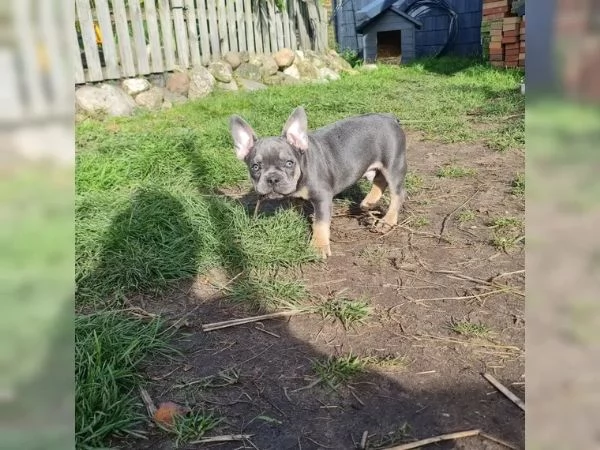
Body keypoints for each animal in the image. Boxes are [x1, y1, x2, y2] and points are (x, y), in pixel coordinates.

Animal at [230, 106, 408, 258]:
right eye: (255, 167)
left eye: (289, 163)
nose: (273, 178)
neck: (303, 168)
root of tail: (389, 117)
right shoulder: (295, 194)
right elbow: (295, 205)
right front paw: (293, 218)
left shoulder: (323, 198)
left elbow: (320, 223)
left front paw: (318, 247)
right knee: (380, 180)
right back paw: (369, 202)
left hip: (393, 164)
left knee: (397, 193)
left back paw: (388, 221)